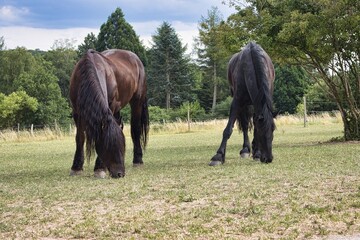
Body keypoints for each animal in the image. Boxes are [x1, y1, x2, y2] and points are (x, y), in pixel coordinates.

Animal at [69, 49, 149, 178]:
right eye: (108, 146)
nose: (120, 173)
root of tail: (135, 58)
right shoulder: (76, 112)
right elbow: (80, 138)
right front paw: (76, 167)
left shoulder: (111, 105)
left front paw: (99, 168)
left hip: (137, 101)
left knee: (135, 130)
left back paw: (138, 160)